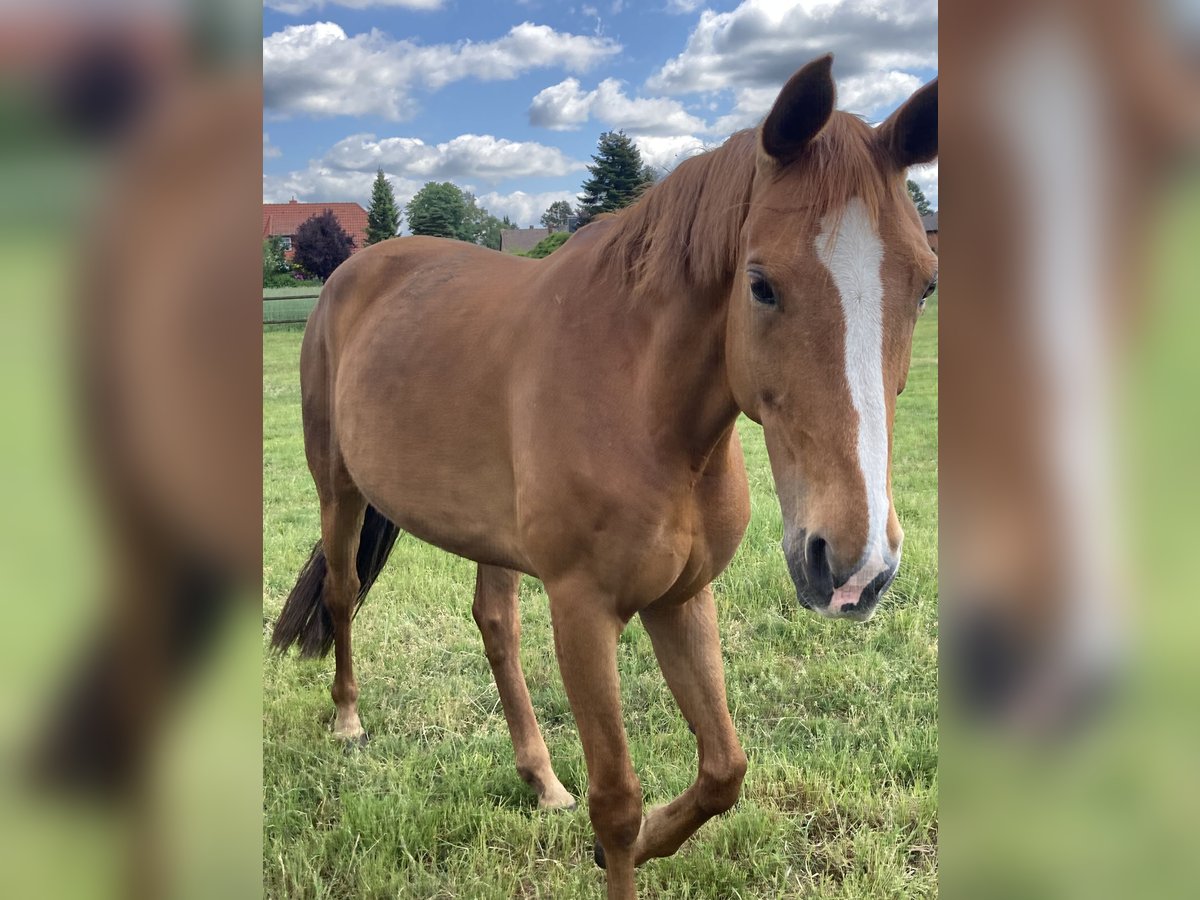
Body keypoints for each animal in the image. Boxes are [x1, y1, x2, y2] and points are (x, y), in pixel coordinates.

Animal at [272, 58, 936, 900]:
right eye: (760, 283)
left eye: (924, 285)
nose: (854, 567)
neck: (642, 406)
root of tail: (354, 270)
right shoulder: (584, 612)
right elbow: (617, 802)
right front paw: (616, 842)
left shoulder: (681, 599)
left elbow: (724, 769)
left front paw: (640, 838)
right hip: (339, 491)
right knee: (344, 593)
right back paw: (349, 720)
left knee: (496, 624)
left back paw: (540, 778)